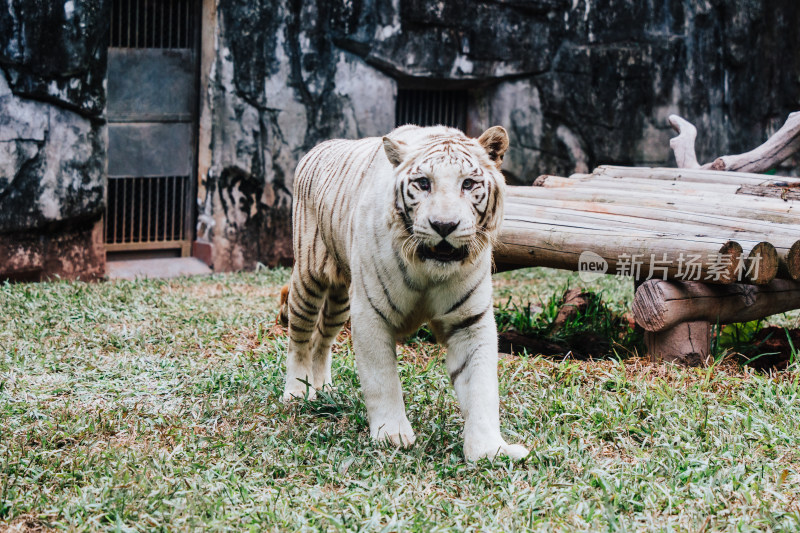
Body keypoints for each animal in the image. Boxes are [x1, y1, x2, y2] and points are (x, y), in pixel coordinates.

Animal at [284, 124, 528, 462]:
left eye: (468, 183)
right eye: (423, 183)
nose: (444, 225)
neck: (430, 271)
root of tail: (319, 146)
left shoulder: (470, 321)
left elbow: (481, 387)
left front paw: (489, 449)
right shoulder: (370, 313)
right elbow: (382, 380)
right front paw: (392, 436)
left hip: (341, 300)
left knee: (322, 339)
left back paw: (321, 389)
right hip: (308, 279)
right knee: (300, 336)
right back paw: (296, 391)